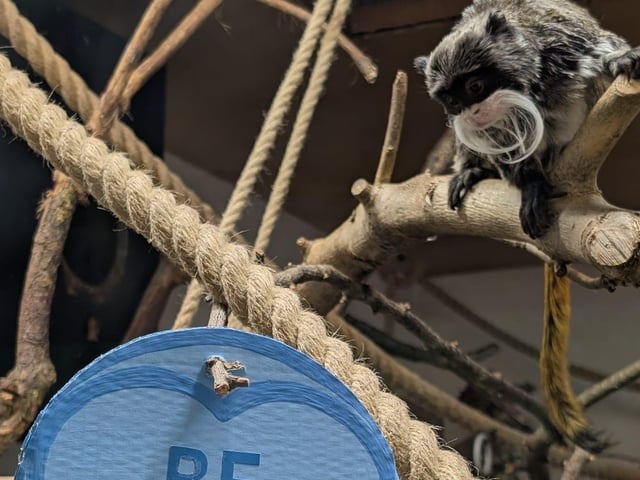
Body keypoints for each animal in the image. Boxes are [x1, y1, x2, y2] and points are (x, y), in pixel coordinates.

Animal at [412, 0, 640, 452]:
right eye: (451, 100)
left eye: (476, 87)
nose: (472, 112)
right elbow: (507, 152)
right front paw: (528, 182)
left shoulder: (562, 45)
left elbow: (602, 55)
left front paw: (621, 59)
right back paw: (478, 171)